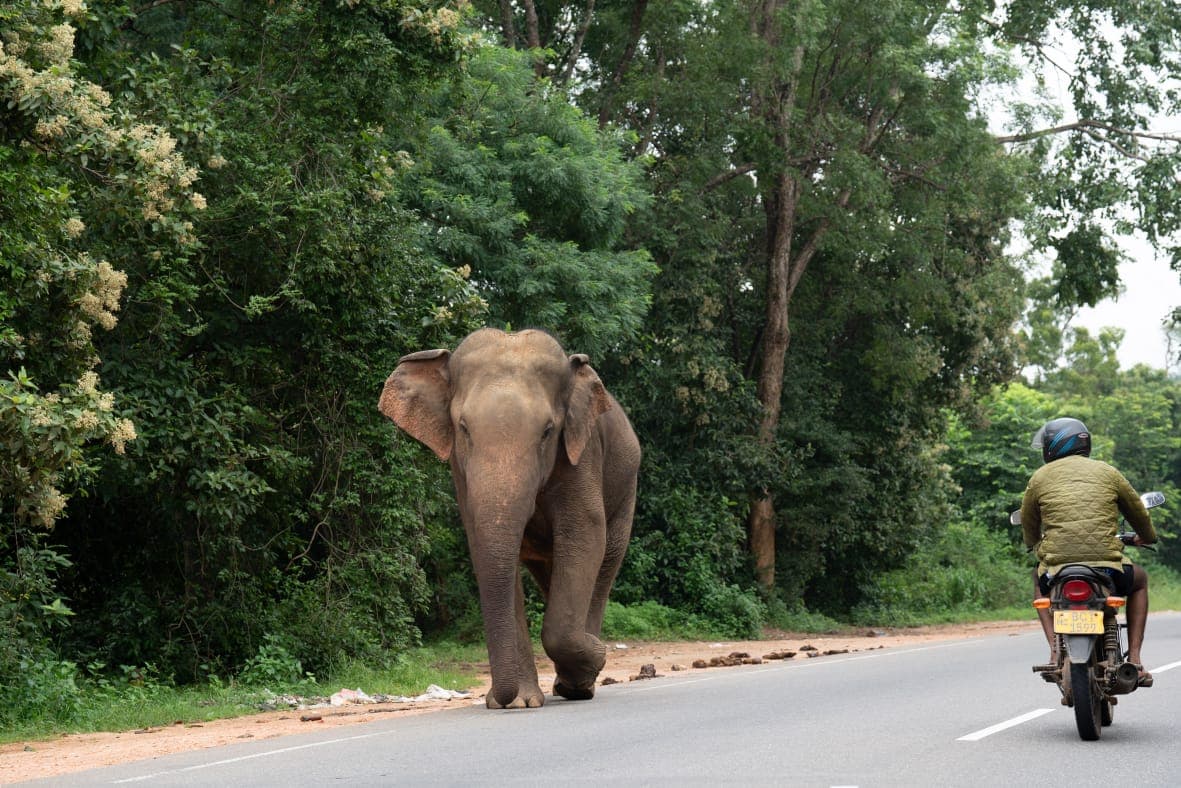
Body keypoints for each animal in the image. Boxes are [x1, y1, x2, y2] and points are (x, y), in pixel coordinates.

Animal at [378, 328, 640, 708]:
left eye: (548, 431)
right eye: (463, 428)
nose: (501, 700)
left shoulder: (583, 453)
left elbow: (585, 534)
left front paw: (593, 657)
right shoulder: (460, 469)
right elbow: (486, 545)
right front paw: (520, 704)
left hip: (626, 492)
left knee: (603, 564)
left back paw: (580, 682)